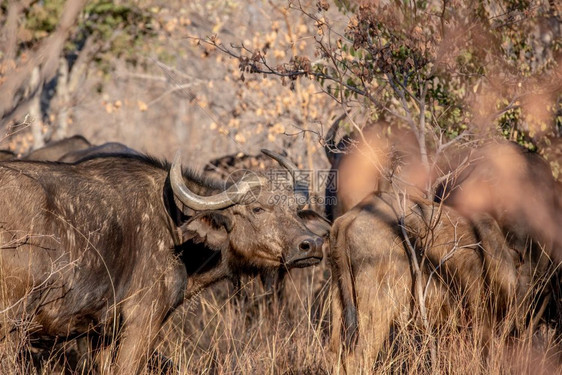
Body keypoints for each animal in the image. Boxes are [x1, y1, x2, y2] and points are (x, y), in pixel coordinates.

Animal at [0, 150, 324, 374]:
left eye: (296, 210)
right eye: (257, 209)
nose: (311, 245)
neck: (176, 227)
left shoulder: (102, 333)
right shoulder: (143, 321)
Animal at [328, 192, 552, 368]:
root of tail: (351, 216)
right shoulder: (482, 322)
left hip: (340, 304)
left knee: (336, 355)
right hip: (377, 310)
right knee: (359, 357)